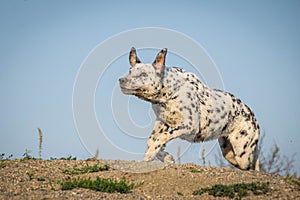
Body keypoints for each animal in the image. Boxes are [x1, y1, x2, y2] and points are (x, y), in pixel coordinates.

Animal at [119, 47, 260, 170]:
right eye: (129, 71)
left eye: (143, 74)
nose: (121, 80)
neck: (171, 93)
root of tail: (253, 117)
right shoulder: (162, 121)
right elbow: (151, 140)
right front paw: (166, 157)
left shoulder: (188, 126)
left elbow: (161, 137)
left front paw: (151, 154)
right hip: (229, 152)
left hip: (242, 153)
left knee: (253, 165)